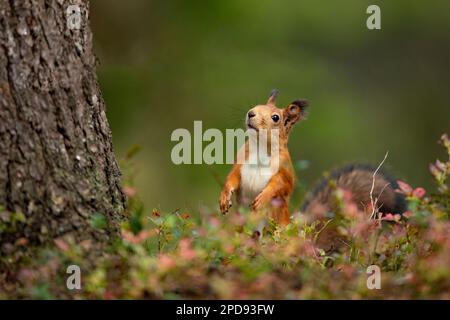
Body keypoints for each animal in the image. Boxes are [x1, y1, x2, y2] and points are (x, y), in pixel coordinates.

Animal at [220, 89, 406, 226]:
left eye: (275, 118)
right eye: (255, 106)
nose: (250, 113)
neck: (259, 147)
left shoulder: (284, 169)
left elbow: (281, 185)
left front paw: (263, 198)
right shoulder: (241, 162)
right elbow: (232, 177)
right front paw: (224, 198)